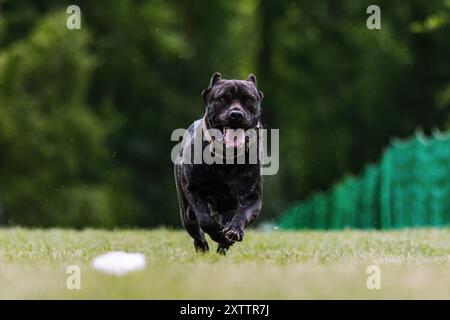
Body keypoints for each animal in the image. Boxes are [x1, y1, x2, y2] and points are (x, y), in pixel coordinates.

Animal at [173, 73, 264, 255]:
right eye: (222, 98)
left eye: (249, 99)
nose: (236, 114)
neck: (226, 159)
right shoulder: (193, 189)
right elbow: (205, 219)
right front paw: (217, 233)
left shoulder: (252, 197)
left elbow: (242, 215)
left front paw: (233, 231)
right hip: (186, 212)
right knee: (195, 228)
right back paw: (203, 247)